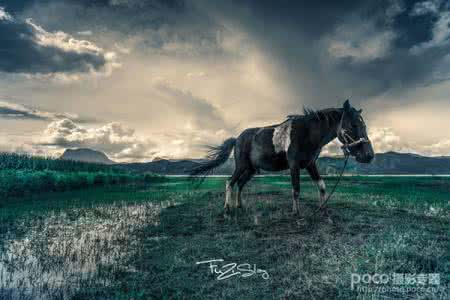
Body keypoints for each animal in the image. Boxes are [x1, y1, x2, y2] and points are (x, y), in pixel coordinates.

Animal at [191, 100, 376, 213]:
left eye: (364, 125)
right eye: (354, 124)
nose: (369, 155)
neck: (307, 133)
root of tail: (237, 139)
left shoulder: (310, 164)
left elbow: (322, 186)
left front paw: (322, 209)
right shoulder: (294, 165)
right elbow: (296, 189)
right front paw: (296, 213)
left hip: (251, 169)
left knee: (240, 184)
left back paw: (239, 205)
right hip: (241, 166)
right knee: (230, 182)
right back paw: (227, 209)